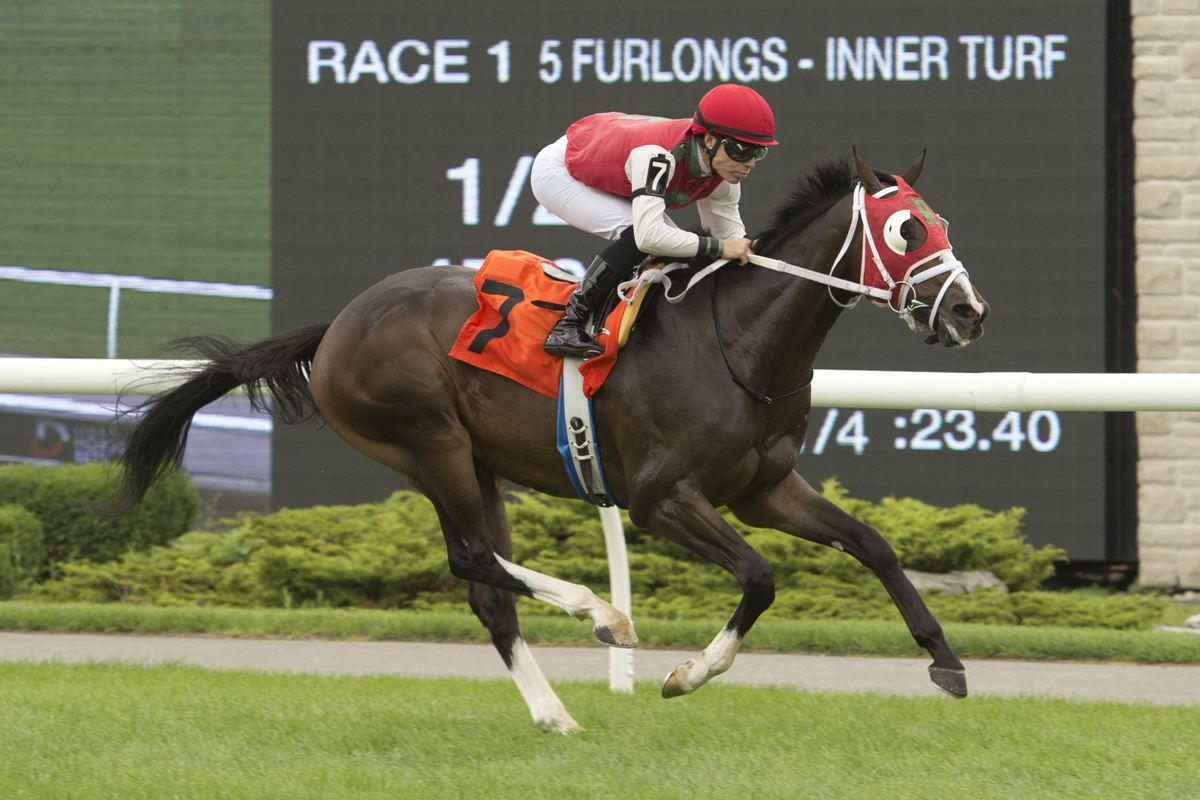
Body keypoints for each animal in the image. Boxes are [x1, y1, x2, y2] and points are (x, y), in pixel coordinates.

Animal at [112, 149, 988, 734]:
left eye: (942, 222)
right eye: (906, 228)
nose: (969, 312)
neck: (735, 343)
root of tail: (336, 328)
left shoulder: (765, 489)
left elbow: (872, 545)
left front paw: (945, 660)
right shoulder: (663, 499)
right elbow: (761, 576)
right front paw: (685, 674)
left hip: (475, 464)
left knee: (487, 589)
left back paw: (555, 712)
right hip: (429, 444)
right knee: (472, 558)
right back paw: (600, 613)